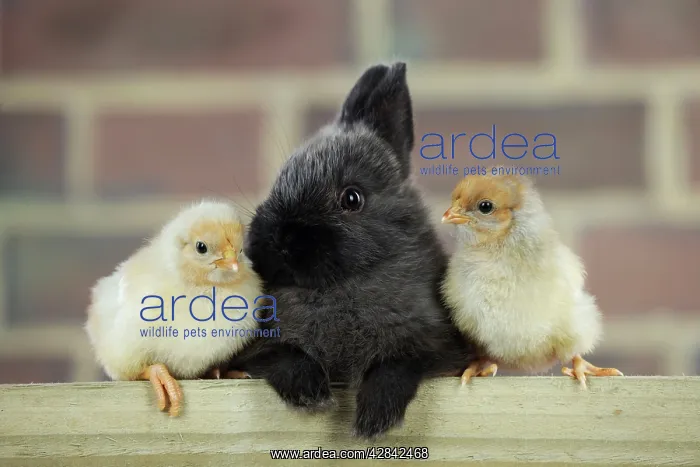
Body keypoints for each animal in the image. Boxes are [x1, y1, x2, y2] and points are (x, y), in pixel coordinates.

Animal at [230, 62, 479, 439]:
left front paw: (375, 420)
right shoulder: (259, 348)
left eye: (352, 198)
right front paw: (314, 396)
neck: (341, 286)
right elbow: (285, 356)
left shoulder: (434, 346)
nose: (281, 239)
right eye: (278, 182)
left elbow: (396, 365)